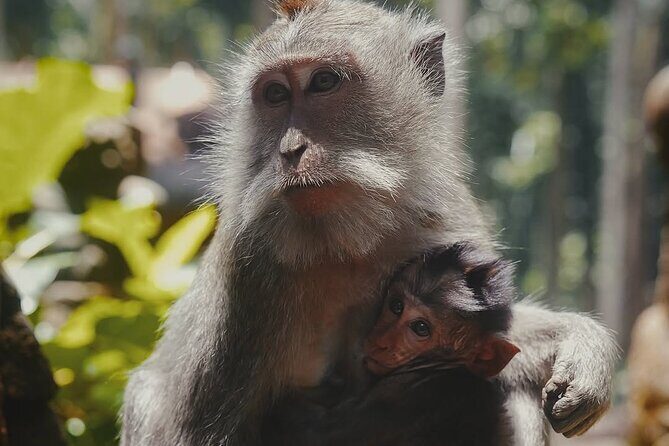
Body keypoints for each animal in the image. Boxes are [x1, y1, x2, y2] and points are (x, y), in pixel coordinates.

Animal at [121, 1, 618, 445]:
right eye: (276, 95)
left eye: (323, 82)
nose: (290, 149)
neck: (344, 241)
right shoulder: (245, 277)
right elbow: (199, 430)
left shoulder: (444, 217)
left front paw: (582, 345)